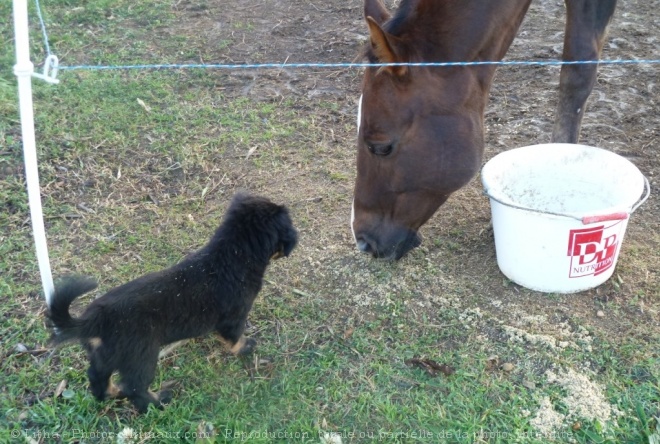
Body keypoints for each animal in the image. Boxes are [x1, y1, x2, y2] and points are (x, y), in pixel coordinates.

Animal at [48, 194, 300, 412]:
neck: (231, 256)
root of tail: (95, 318)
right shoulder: (236, 315)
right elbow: (235, 337)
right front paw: (246, 347)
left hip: (104, 355)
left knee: (98, 379)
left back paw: (113, 394)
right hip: (141, 356)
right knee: (135, 388)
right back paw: (159, 401)